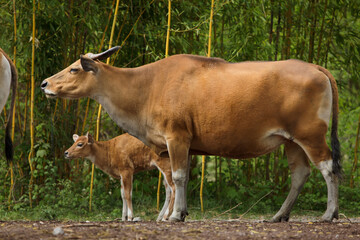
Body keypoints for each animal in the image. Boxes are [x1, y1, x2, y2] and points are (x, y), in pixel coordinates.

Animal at [41, 46, 340, 222]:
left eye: (74, 69)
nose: (44, 83)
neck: (146, 86)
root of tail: (316, 67)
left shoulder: (177, 137)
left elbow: (178, 177)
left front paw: (174, 216)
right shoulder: (177, 146)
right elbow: (178, 180)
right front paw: (181, 213)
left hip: (311, 136)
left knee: (329, 168)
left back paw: (329, 214)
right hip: (291, 141)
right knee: (300, 174)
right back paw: (279, 215)